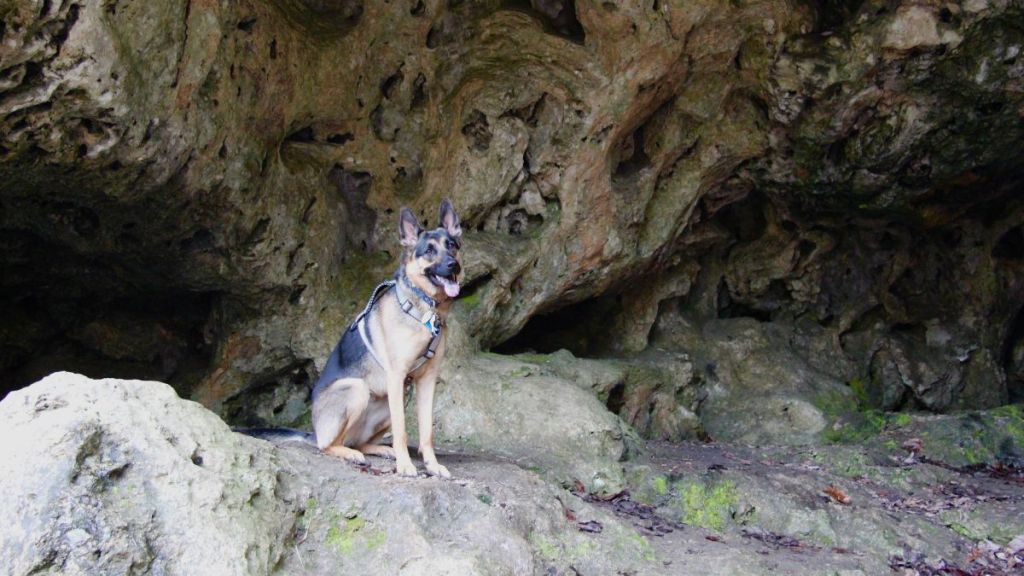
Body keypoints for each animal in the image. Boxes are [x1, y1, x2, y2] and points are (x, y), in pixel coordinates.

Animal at [307, 199, 460, 477]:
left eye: (452, 246)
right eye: (429, 250)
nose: (454, 265)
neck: (425, 309)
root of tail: (314, 432)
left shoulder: (426, 381)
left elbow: (426, 432)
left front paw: (432, 465)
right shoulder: (397, 376)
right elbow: (402, 431)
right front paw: (406, 465)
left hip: (388, 404)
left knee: (359, 441)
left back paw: (379, 449)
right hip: (358, 390)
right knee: (330, 444)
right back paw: (350, 453)